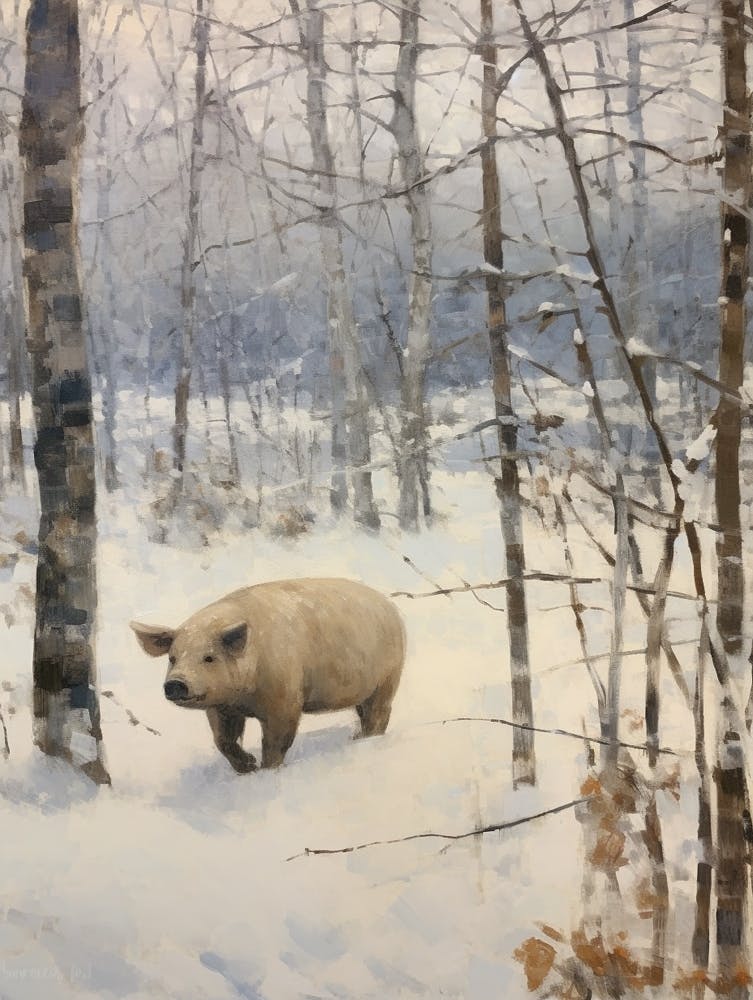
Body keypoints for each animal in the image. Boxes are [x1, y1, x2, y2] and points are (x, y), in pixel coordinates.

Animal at [130, 577, 405, 774]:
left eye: (209, 657)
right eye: (172, 658)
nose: (175, 683)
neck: (244, 698)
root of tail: (390, 606)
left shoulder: (285, 698)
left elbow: (276, 739)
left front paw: (266, 770)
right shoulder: (221, 708)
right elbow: (222, 740)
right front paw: (248, 768)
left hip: (388, 676)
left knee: (380, 711)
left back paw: (364, 740)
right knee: (364, 711)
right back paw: (356, 736)